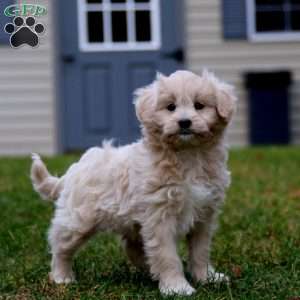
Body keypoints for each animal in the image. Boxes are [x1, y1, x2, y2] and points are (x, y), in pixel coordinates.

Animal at [31, 69, 237, 296]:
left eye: (199, 105)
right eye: (171, 107)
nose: (184, 122)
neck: (188, 155)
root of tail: (73, 170)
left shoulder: (204, 215)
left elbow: (200, 251)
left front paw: (206, 278)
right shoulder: (160, 216)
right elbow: (167, 255)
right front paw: (177, 287)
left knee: (133, 248)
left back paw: (148, 270)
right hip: (78, 220)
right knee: (61, 246)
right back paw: (62, 277)